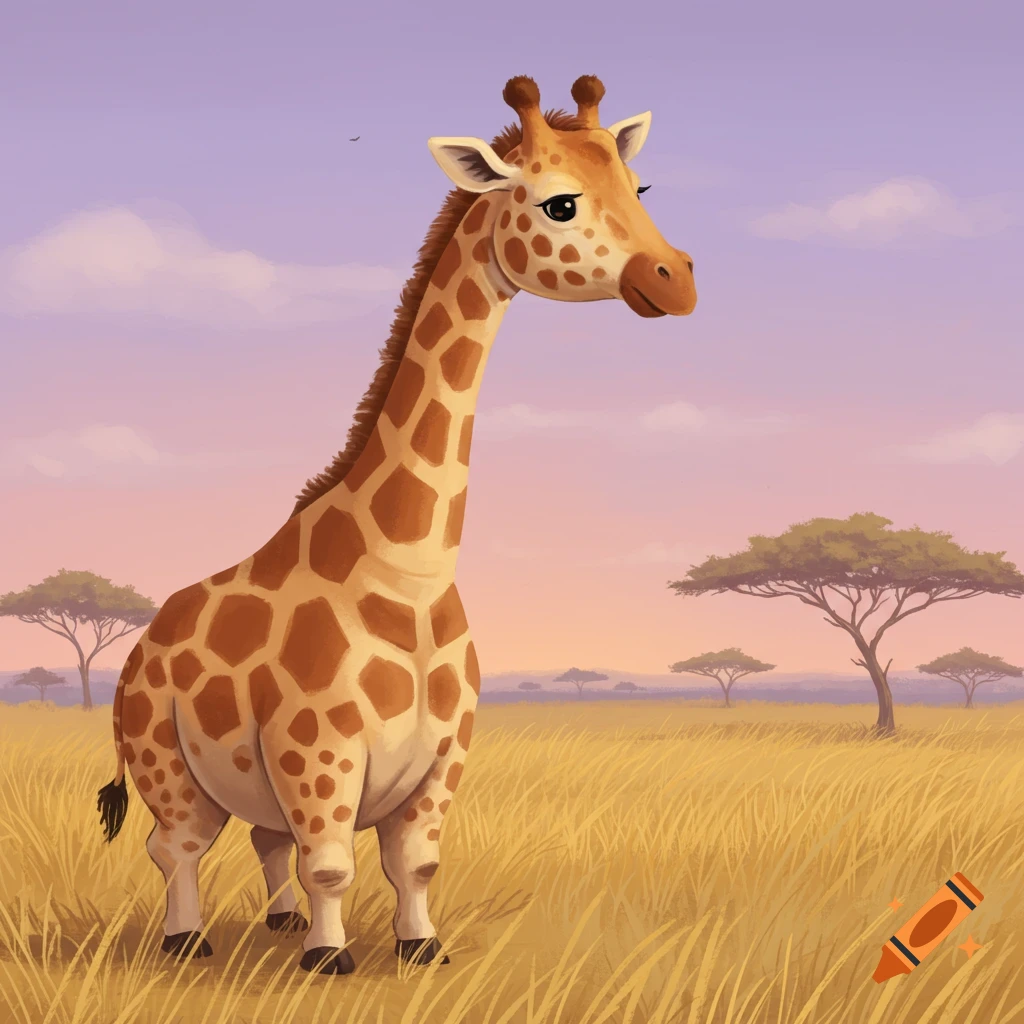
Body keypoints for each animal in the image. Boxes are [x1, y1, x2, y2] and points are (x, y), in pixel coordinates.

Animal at [95, 73, 696, 976]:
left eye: (639, 187)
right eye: (558, 203)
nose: (675, 281)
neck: (407, 567)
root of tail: (138, 649)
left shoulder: (443, 758)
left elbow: (414, 862)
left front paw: (420, 948)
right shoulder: (319, 752)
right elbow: (333, 866)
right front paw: (329, 959)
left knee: (265, 843)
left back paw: (276, 922)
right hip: (165, 761)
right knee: (178, 849)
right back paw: (187, 940)